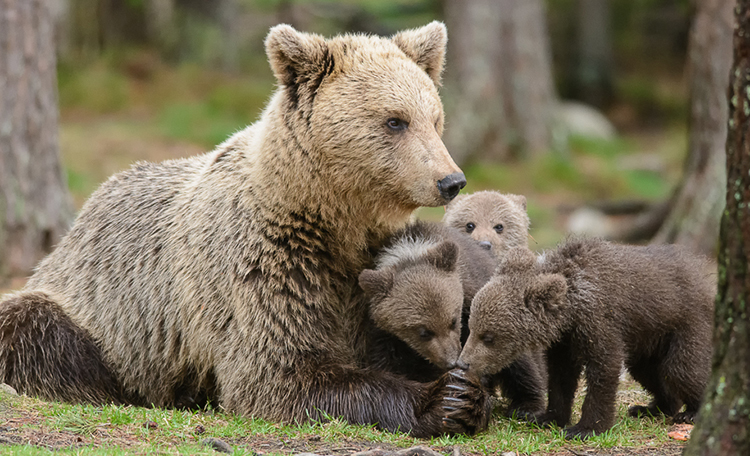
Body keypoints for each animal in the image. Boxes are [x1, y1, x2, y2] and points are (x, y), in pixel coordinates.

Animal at [0, 23, 494, 437]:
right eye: (395, 120)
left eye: (434, 118)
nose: (451, 180)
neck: (330, 217)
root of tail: (76, 225)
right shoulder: (265, 263)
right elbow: (278, 371)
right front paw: (444, 399)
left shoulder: (367, 266)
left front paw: (465, 390)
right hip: (94, 312)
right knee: (32, 328)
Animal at [359, 220, 546, 416]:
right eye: (424, 332)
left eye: (453, 321)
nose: (451, 361)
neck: (412, 253)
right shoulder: (384, 332)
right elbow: (388, 362)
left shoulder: (473, 295)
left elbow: (511, 357)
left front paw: (527, 404)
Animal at [458, 238, 715, 439]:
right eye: (471, 326)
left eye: (489, 336)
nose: (463, 362)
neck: (572, 307)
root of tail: (705, 279)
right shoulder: (564, 340)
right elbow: (561, 377)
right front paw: (548, 417)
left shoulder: (600, 322)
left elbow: (603, 370)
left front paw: (585, 428)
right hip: (648, 339)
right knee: (648, 371)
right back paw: (650, 407)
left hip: (686, 324)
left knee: (681, 369)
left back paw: (692, 411)